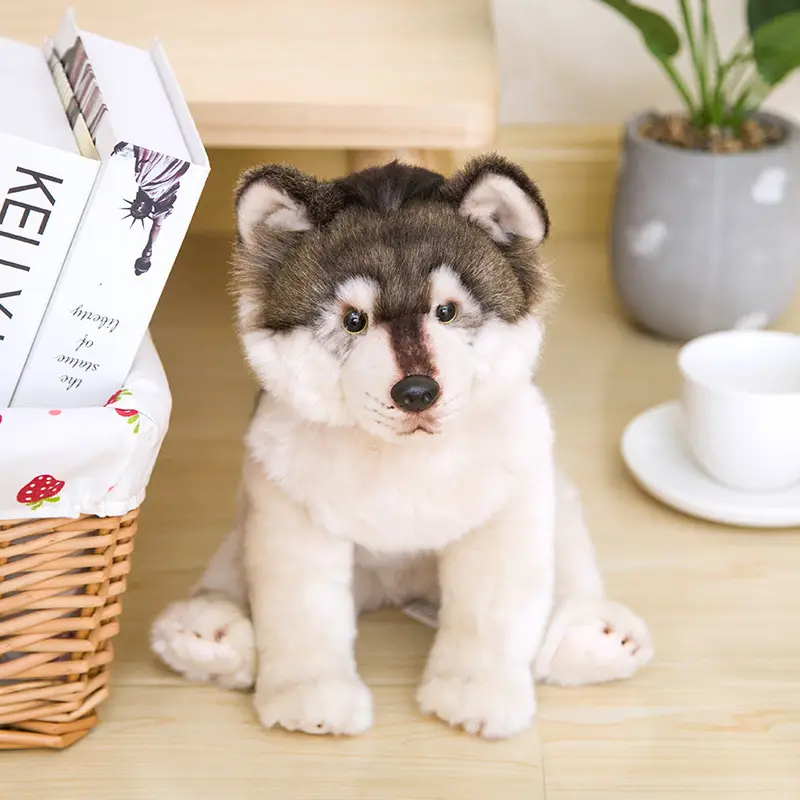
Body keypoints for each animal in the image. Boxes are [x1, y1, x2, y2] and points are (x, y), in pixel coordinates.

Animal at [150, 156, 653, 739]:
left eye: (447, 311)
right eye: (354, 320)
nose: (416, 392)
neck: (399, 457)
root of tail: (395, 592)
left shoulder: (503, 519)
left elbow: (489, 618)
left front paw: (476, 697)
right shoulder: (289, 520)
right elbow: (301, 618)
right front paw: (310, 702)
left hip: (558, 505)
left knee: (569, 567)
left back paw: (593, 639)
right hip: (250, 527)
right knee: (229, 573)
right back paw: (207, 637)